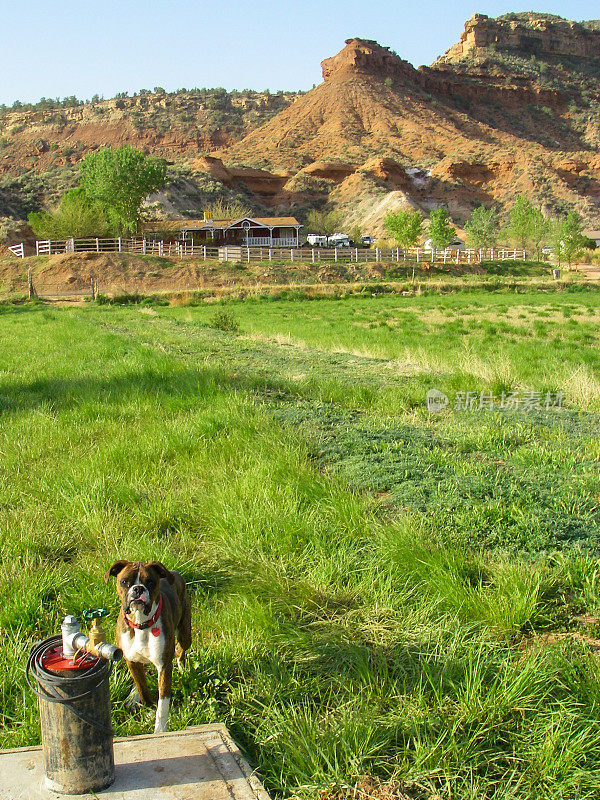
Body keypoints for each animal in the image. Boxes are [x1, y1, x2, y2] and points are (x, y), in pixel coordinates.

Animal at [104, 560, 191, 736]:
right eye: (125, 581)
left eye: (150, 582)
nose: (138, 588)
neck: (140, 623)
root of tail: (174, 573)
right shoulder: (131, 661)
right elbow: (142, 688)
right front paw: (148, 706)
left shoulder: (164, 666)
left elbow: (163, 704)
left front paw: (160, 730)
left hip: (185, 634)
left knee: (180, 650)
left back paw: (183, 667)